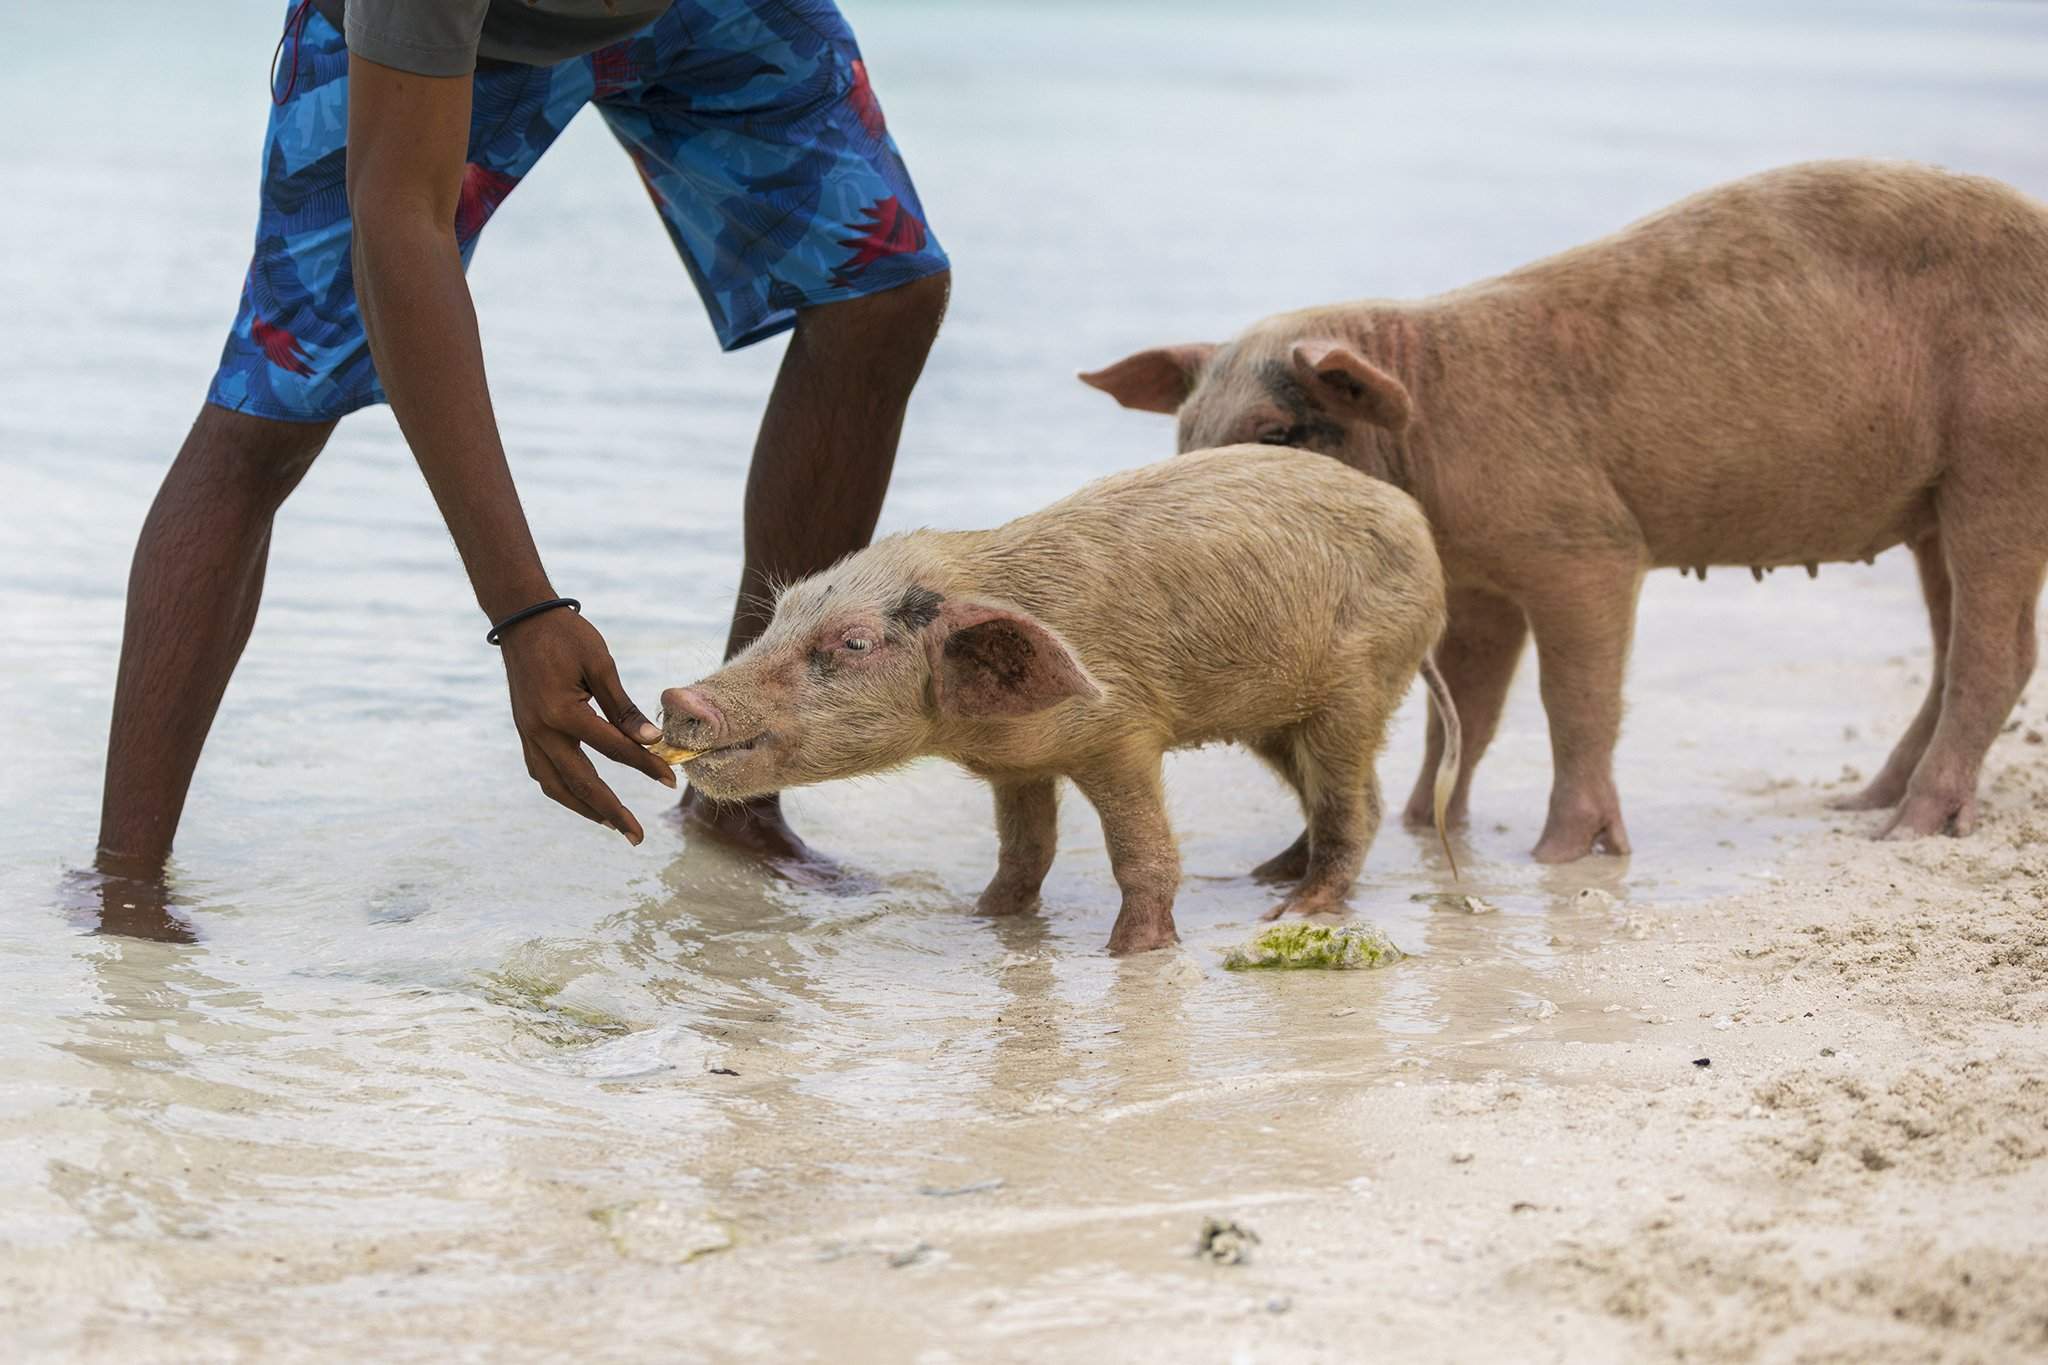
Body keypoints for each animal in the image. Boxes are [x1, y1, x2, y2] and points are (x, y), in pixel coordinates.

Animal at [659, 454, 1458, 957]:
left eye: (854, 643)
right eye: (781, 613)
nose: (677, 695)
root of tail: (1420, 529)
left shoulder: (1124, 734)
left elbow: (1143, 855)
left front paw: (1129, 955)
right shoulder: (1017, 766)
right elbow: (1025, 853)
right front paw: (980, 918)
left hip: (1358, 688)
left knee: (1353, 805)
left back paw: (1291, 910)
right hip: (1278, 717)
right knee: (1345, 798)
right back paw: (1266, 878)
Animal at [1081, 160, 2048, 863]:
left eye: (1278, 431)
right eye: (1186, 433)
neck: (1429, 436)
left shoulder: (1587, 546)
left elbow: (1573, 697)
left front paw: (1557, 859)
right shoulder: (1477, 581)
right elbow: (1465, 709)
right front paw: (1425, 828)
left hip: (2001, 458)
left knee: (1992, 653)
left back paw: (1905, 829)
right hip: (1933, 505)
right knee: (1962, 653)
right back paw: (1858, 801)